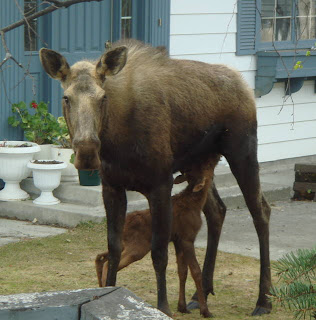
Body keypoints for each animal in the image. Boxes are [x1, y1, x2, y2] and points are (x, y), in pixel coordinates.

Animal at [95, 159, 220, 318]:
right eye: (206, 167)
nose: (215, 160)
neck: (196, 204)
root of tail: (126, 224)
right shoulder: (187, 237)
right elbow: (195, 272)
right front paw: (205, 310)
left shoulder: (177, 240)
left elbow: (182, 272)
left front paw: (182, 307)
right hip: (138, 247)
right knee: (107, 261)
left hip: (127, 244)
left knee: (101, 256)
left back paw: (100, 287)